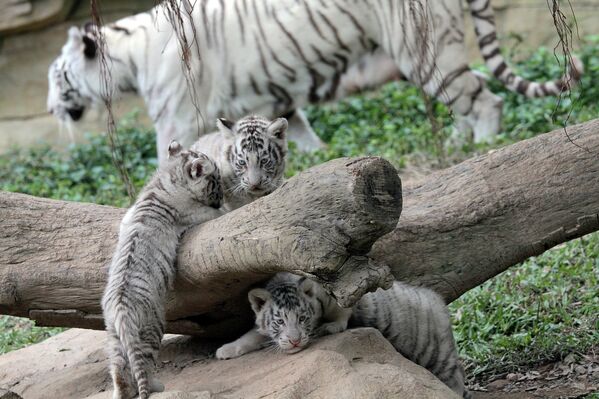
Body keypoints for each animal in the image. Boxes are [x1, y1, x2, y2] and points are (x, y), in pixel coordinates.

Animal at [47, 0, 580, 164]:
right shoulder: (276, 102)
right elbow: (298, 136)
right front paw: (318, 159)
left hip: (425, 51)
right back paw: (457, 142)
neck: (128, 60)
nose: (51, 109)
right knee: (467, 99)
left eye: (57, 77)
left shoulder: (174, 118)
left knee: (484, 99)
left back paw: (483, 147)